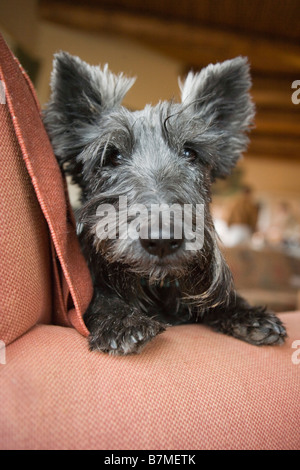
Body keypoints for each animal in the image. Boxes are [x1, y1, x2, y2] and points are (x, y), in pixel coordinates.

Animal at [43, 53, 288, 354]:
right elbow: (99, 297)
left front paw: (248, 313)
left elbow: (221, 299)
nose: (161, 240)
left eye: (190, 152)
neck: (156, 286)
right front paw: (120, 320)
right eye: (112, 156)